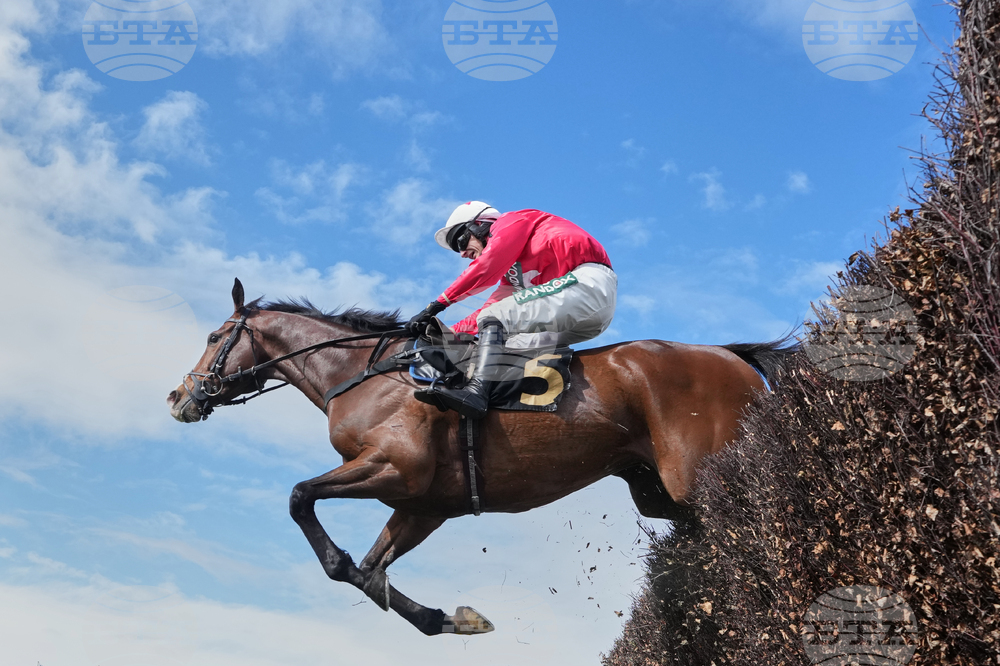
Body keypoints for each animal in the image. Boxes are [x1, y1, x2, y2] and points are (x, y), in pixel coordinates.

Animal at [167, 279, 796, 636]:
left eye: (214, 335)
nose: (178, 396)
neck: (367, 374)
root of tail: (731, 355)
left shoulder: (395, 467)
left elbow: (302, 500)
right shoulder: (424, 503)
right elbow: (370, 571)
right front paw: (450, 619)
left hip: (704, 475)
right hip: (656, 490)